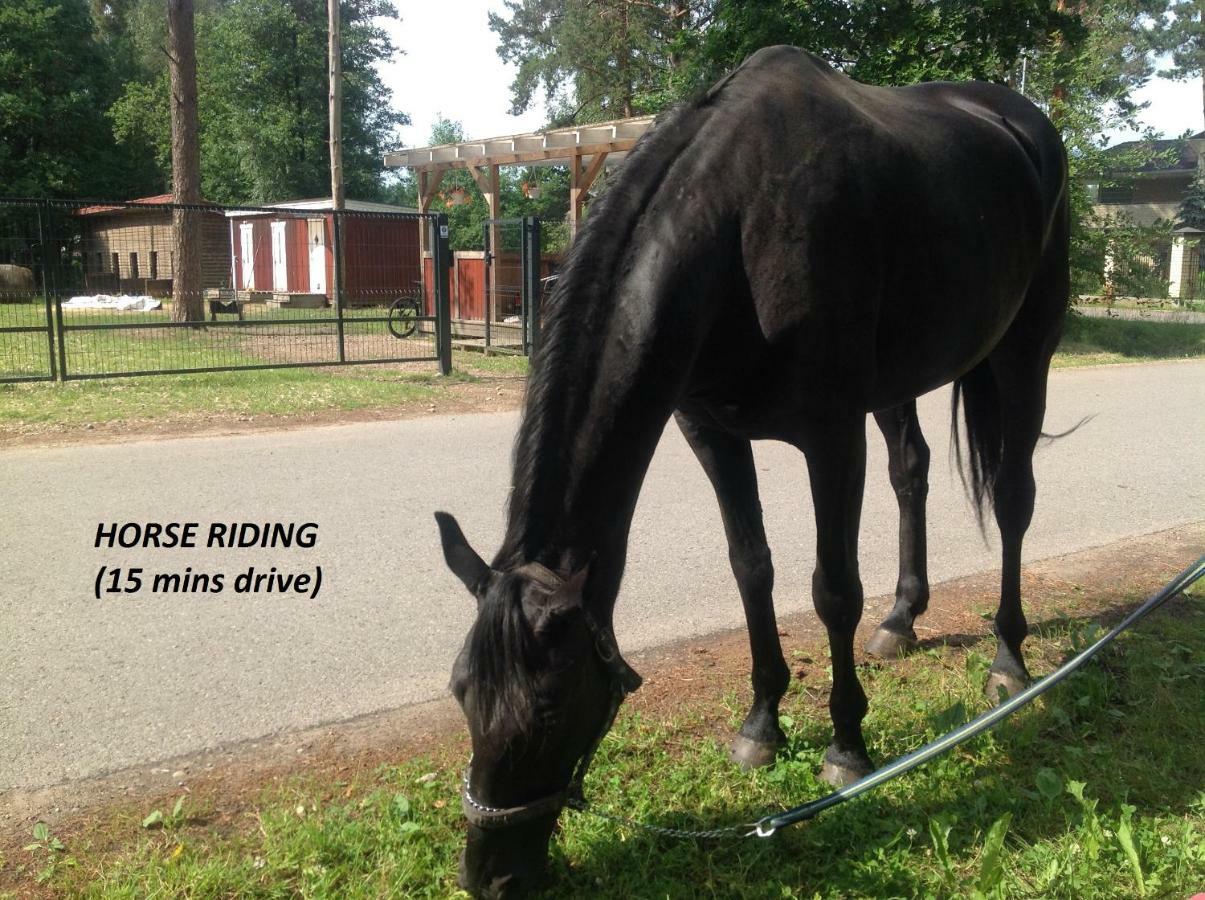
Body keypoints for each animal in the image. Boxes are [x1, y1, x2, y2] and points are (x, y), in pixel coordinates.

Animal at [438, 47, 1070, 900]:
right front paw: (761, 725)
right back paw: (902, 619)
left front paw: (846, 745)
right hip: (899, 379)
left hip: (1022, 353)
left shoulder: (831, 437)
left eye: (548, 709)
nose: (490, 877)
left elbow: (831, 590)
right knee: (912, 471)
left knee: (1010, 499)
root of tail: (1020, 123)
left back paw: (1008, 659)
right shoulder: (710, 433)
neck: (737, 227)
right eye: (461, 691)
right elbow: (751, 570)